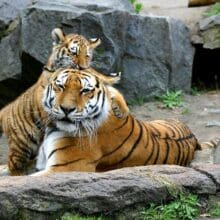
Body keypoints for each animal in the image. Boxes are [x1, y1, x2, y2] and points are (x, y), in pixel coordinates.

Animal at [0, 28, 124, 175]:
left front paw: (120, 109)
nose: (83, 67)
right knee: (14, 164)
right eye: (74, 52)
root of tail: (5, 109)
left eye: (87, 55)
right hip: (21, 145)